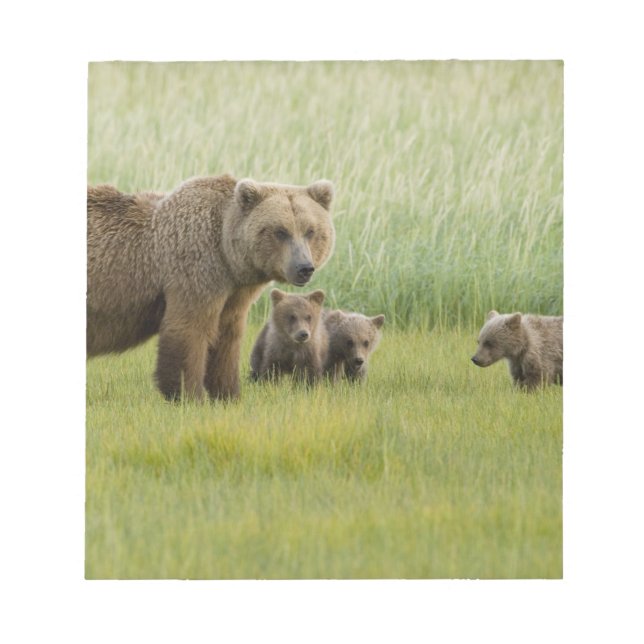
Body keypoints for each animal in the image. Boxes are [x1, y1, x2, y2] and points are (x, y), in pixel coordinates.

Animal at [87, 174, 335, 401]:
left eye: (311, 231)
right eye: (280, 231)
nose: (304, 268)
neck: (226, 254)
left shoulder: (234, 292)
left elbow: (227, 337)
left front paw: (228, 394)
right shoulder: (195, 269)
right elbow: (190, 330)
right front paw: (188, 396)